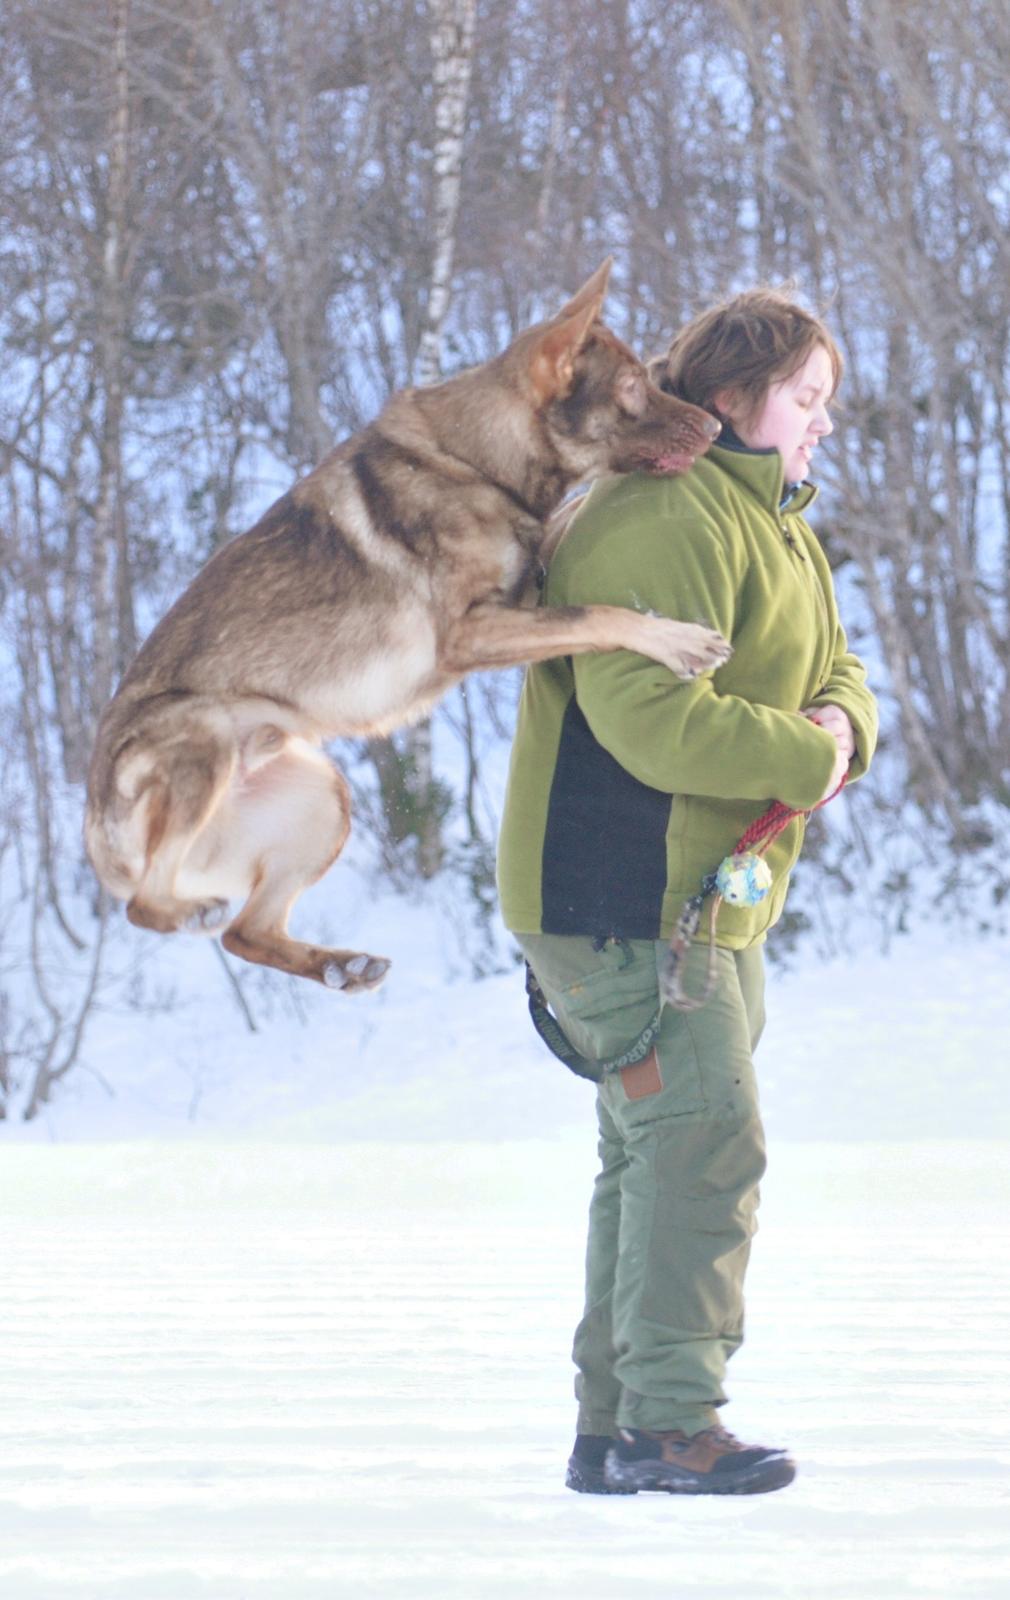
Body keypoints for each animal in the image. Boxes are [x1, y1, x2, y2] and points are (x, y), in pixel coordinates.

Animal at [84, 260, 726, 985]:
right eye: (632, 388)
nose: (715, 429)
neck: (479, 461)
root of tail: (93, 819)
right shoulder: (473, 631)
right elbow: (601, 612)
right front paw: (678, 640)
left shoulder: (520, 592)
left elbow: (566, 547)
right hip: (203, 747)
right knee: (147, 906)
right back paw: (194, 913)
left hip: (323, 801)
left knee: (247, 934)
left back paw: (342, 966)